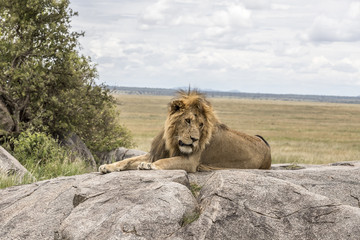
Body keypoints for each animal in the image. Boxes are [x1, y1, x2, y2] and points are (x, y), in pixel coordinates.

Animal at [98, 89, 270, 173]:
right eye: (187, 120)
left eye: (201, 124)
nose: (194, 139)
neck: (173, 140)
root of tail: (265, 142)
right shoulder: (155, 153)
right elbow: (126, 160)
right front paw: (107, 166)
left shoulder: (191, 161)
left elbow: (166, 162)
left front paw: (149, 166)